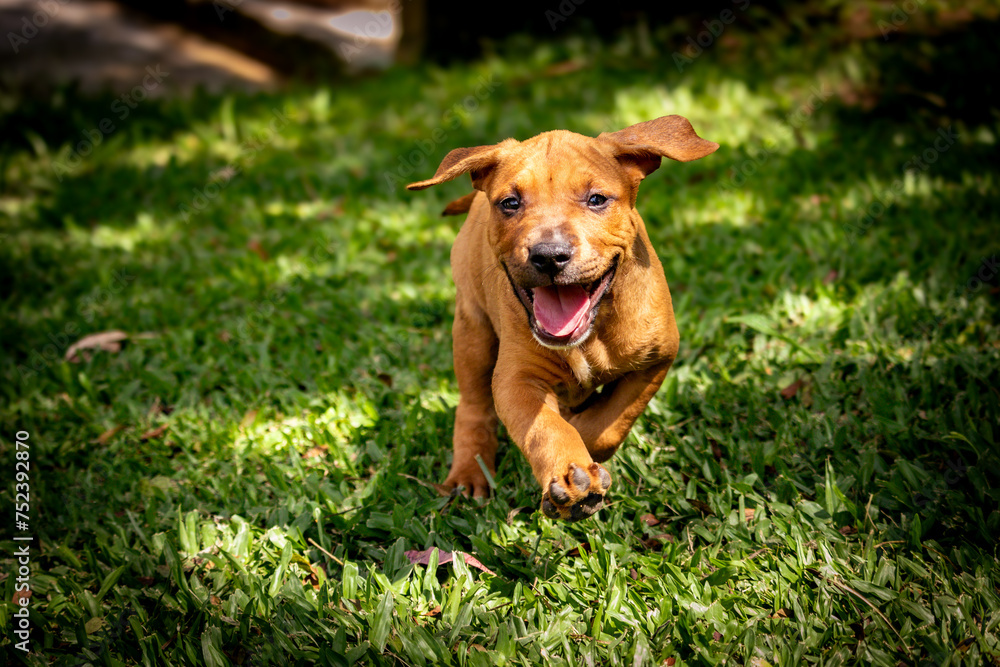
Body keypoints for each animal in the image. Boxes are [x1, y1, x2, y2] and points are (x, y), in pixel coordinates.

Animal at [406, 115, 720, 520]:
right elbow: (545, 428)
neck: (591, 334)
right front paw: (571, 473)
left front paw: (583, 443)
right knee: (474, 406)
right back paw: (468, 473)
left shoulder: (656, 361)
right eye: (510, 203)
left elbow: (610, 422)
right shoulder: (517, 379)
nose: (549, 255)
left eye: (597, 200)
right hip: (472, 329)